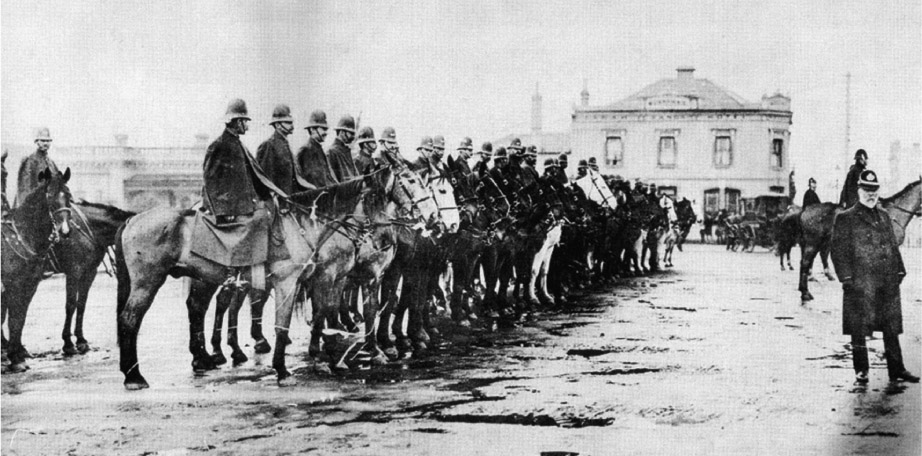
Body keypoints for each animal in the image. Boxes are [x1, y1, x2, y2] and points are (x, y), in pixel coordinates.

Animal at [1, 167, 73, 370]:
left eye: (69, 196)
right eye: (50, 196)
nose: (65, 231)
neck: (22, 236)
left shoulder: (30, 286)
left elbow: (20, 320)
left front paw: (17, 355)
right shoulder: (13, 286)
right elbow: (13, 319)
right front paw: (15, 359)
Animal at [54, 200, 135, 356]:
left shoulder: (89, 273)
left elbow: (81, 304)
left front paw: (81, 341)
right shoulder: (74, 272)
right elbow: (71, 305)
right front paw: (68, 343)